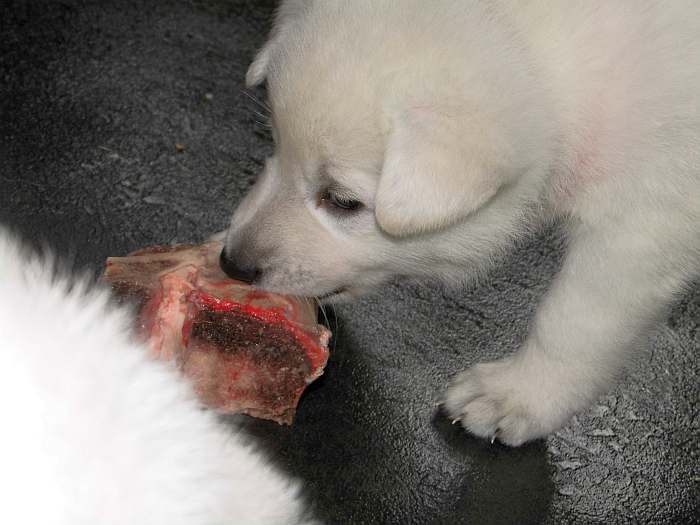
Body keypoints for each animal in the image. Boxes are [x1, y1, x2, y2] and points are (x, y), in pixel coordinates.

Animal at [221, 0, 696, 444]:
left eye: (342, 201)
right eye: (275, 145)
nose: (231, 264)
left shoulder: (643, 224)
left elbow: (573, 320)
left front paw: (518, 395)